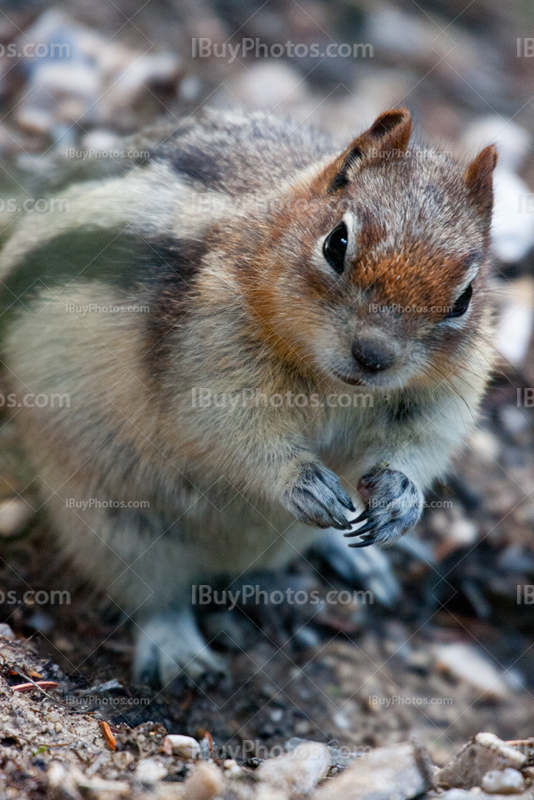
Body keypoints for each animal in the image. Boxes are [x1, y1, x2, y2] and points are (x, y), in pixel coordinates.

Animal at [0, 108, 498, 688]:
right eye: (336, 243)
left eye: (464, 298)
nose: (373, 355)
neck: (335, 384)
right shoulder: (205, 365)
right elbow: (230, 431)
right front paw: (300, 482)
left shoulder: (446, 394)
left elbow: (425, 444)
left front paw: (401, 497)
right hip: (115, 521)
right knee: (154, 594)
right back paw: (179, 654)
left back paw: (355, 558)